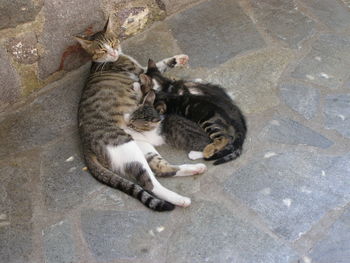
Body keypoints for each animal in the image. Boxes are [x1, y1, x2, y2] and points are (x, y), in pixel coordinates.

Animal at [75, 18, 206, 212]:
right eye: (101, 49)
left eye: (112, 42)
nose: (113, 51)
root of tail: (84, 145)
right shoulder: (139, 72)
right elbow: (163, 77)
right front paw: (194, 83)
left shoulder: (144, 71)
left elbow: (159, 66)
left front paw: (179, 59)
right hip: (125, 145)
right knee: (150, 183)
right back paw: (180, 199)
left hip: (142, 145)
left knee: (161, 169)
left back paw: (194, 169)